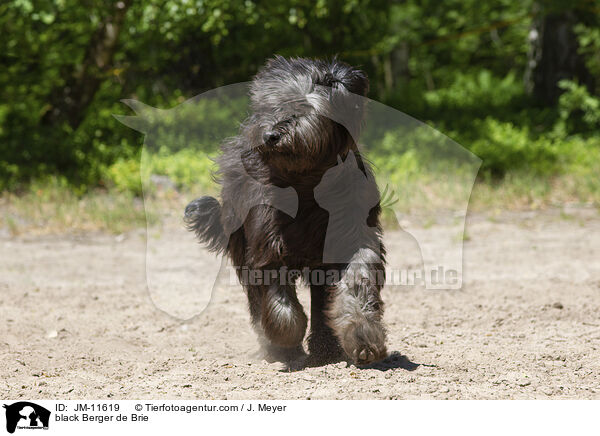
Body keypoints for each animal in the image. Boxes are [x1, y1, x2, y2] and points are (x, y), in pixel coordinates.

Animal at [185, 56, 386, 366]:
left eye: (302, 106)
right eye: (271, 106)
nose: (271, 135)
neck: (306, 185)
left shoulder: (351, 237)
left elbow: (357, 281)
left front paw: (362, 336)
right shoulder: (266, 243)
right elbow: (278, 300)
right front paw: (285, 342)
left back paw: (326, 347)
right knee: (257, 301)